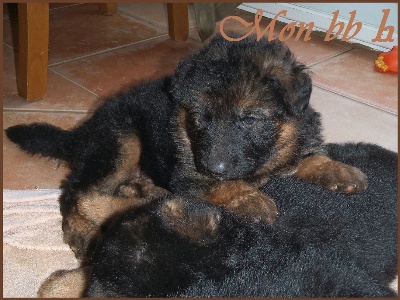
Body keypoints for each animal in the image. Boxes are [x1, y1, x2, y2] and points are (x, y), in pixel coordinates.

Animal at [4, 32, 368, 258]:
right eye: (200, 117)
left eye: (249, 119)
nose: (215, 166)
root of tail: (84, 130)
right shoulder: (189, 175)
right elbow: (221, 187)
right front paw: (250, 199)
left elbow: (308, 155)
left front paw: (339, 170)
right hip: (120, 142)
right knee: (75, 192)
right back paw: (81, 231)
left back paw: (144, 192)